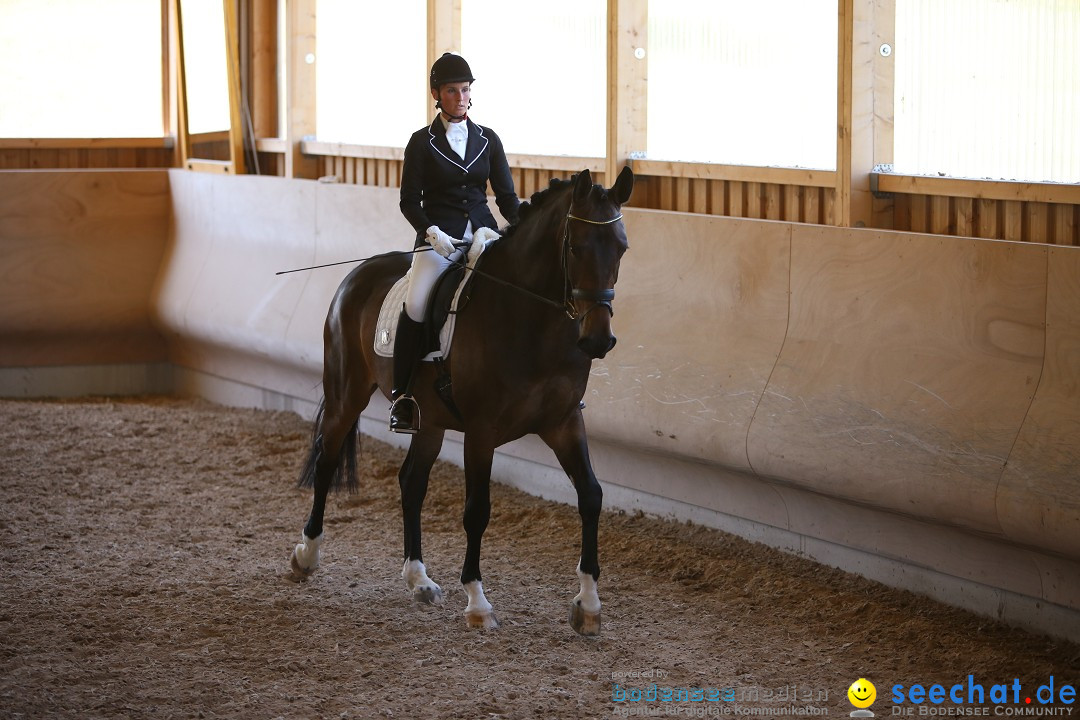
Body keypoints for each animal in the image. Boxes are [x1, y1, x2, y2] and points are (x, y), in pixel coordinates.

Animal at [291, 165, 635, 634]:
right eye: (576, 246)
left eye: (621, 247)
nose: (598, 340)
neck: (530, 319)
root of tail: (358, 273)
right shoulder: (481, 431)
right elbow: (477, 511)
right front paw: (477, 602)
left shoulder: (563, 422)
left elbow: (592, 496)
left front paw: (588, 604)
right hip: (347, 394)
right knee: (327, 460)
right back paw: (307, 555)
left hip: (429, 421)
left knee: (411, 482)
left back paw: (419, 579)